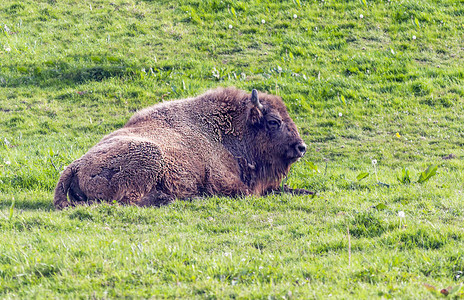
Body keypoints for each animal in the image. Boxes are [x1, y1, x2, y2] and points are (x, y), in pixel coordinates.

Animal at [55, 86, 316, 209]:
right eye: (273, 122)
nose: (301, 147)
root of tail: (75, 165)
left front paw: (309, 192)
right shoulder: (225, 182)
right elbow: (248, 192)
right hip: (149, 158)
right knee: (127, 200)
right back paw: (170, 199)